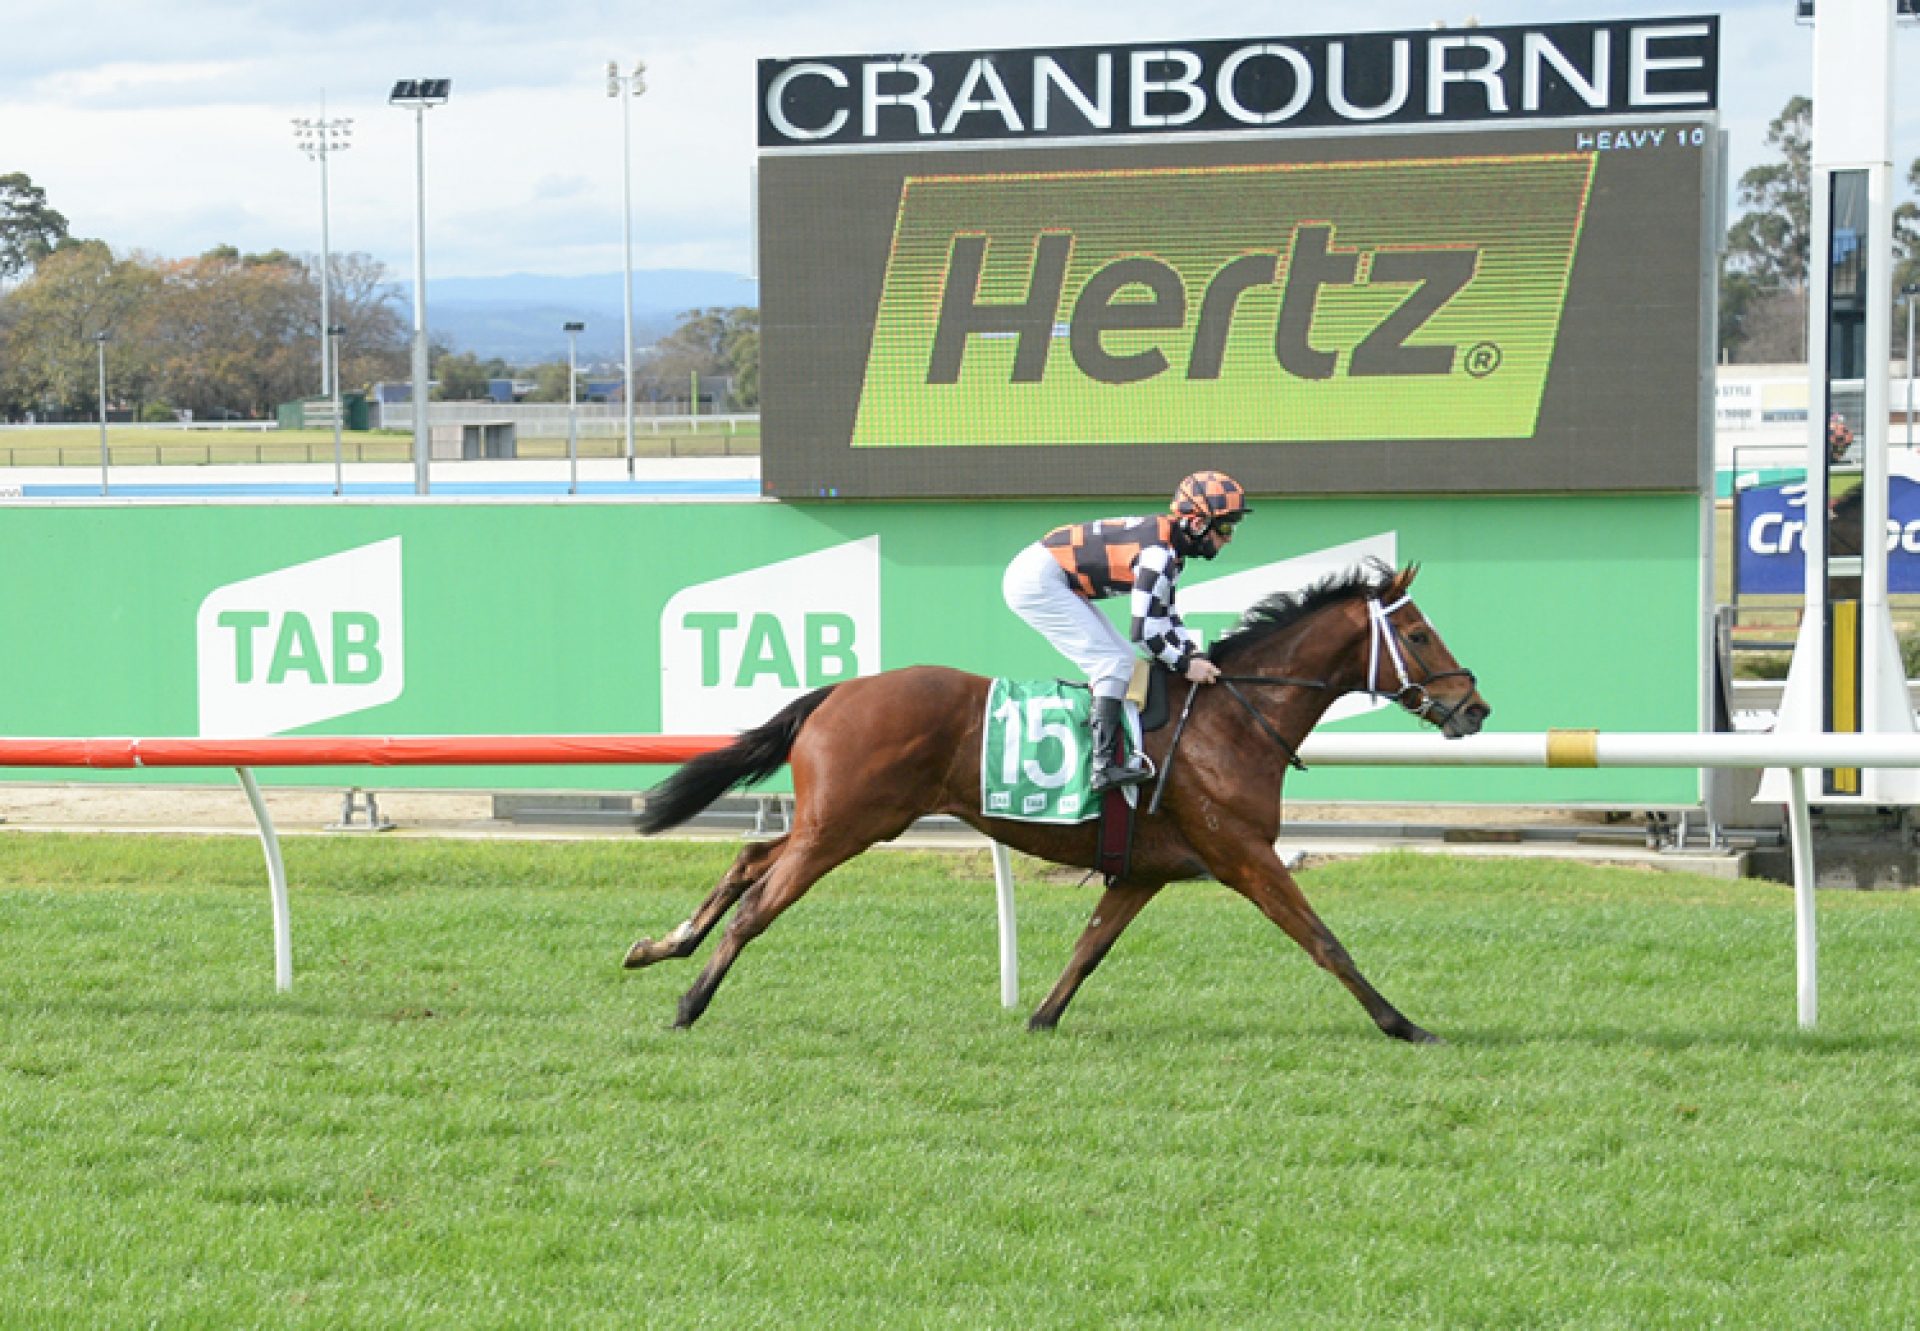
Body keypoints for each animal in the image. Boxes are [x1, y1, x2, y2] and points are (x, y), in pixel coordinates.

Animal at [622, 560, 1489, 1037]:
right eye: (1418, 635)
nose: (1474, 707)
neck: (1233, 719)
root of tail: (839, 691)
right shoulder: (1243, 854)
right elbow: (1325, 940)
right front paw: (1406, 1025)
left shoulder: (1144, 870)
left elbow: (1089, 947)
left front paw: (1039, 1018)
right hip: (846, 825)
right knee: (760, 901)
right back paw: (690, 1001)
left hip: (843, 819)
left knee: (750, 854)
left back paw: (661, 946)